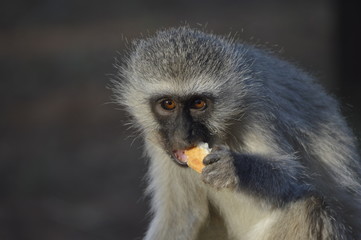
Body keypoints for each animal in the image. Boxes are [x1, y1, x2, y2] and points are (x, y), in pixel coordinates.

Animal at [111, 26, 360, 240]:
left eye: (199, 103)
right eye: (168, 104)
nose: (183, 135)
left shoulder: (258, 110)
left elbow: (293, 182)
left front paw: (235, 168)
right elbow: (181, 217)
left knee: (308, 205)